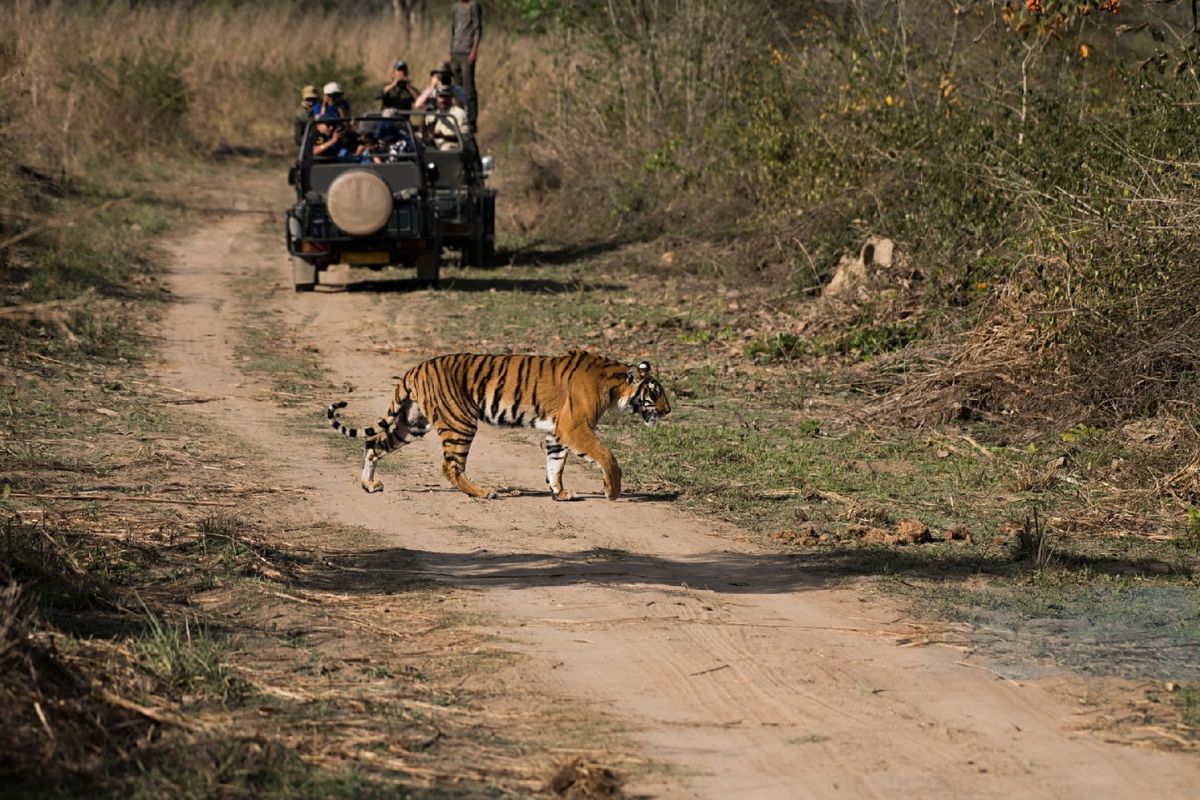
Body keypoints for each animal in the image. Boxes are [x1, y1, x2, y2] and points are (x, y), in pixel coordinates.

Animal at [326, 350, 670, 500]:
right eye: (655, 393)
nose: (668, 411)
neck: (613, 385)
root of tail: (414, 368)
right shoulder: (576, 427)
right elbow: (606, 456)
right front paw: (613, 491)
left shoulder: (557, 432)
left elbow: (555, 464)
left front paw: (559, 492)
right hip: (460, 422)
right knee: (450, 466)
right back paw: (483, 492)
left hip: (411, 424)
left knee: (373, 444)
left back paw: (369, 485)